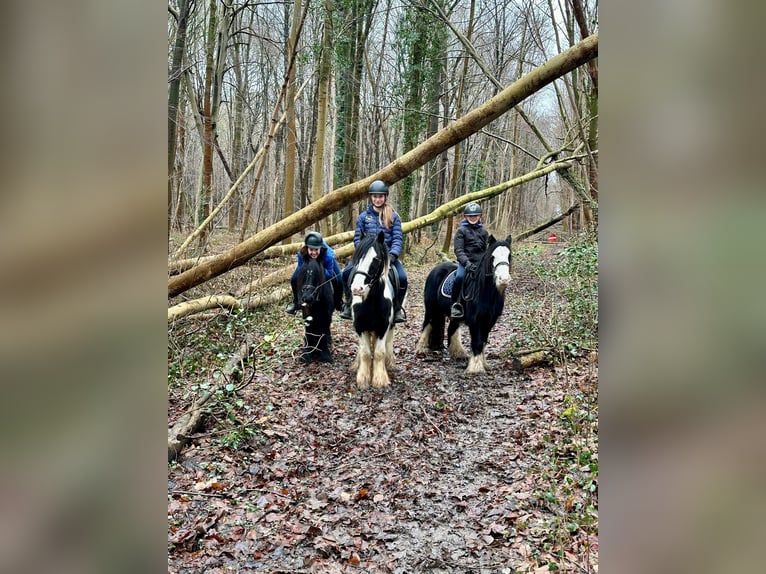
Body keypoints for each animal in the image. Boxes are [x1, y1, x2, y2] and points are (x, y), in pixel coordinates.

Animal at [348, 232, 396, 390]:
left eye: (376, 260)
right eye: (357, 258)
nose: (357, 289)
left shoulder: (383, 326)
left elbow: (380, 352)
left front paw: (379, 379)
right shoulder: (359, 326)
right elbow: (365, 352)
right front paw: (363, 378)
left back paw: (389, 362)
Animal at [416, 235, 512, 376]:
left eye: (509, 256)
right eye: (492, 257)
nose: (504, 279)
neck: (484, 292)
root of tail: (436, 269)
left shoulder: (489, 322)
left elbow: (483, 341)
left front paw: (483, 364)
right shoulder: (476, 321)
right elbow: (477, 342)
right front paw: (475, 368)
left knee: (451, 329)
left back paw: (459, 353)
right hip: (431, 309)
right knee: (427, 324)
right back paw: (421, 349)